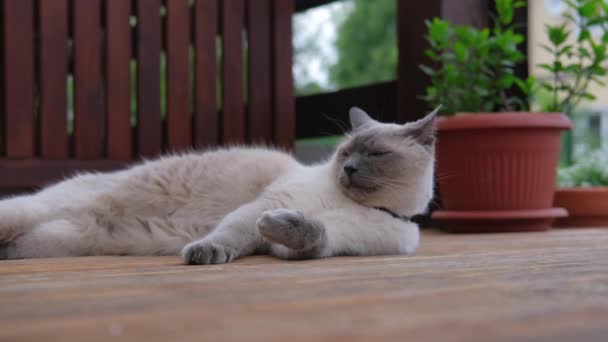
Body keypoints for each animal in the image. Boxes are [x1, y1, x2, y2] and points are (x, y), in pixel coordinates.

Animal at [0, 107, 436, 264]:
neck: (359, 206)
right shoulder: (269, 201)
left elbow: (307, 234)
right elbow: (235, 231)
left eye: (376, 154)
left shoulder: (333, 240)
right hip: (55, 207)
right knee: (19, 208)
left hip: (62, 238)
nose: (348, 169)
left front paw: (280, 225)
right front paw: (206, 253)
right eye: (346, 151)